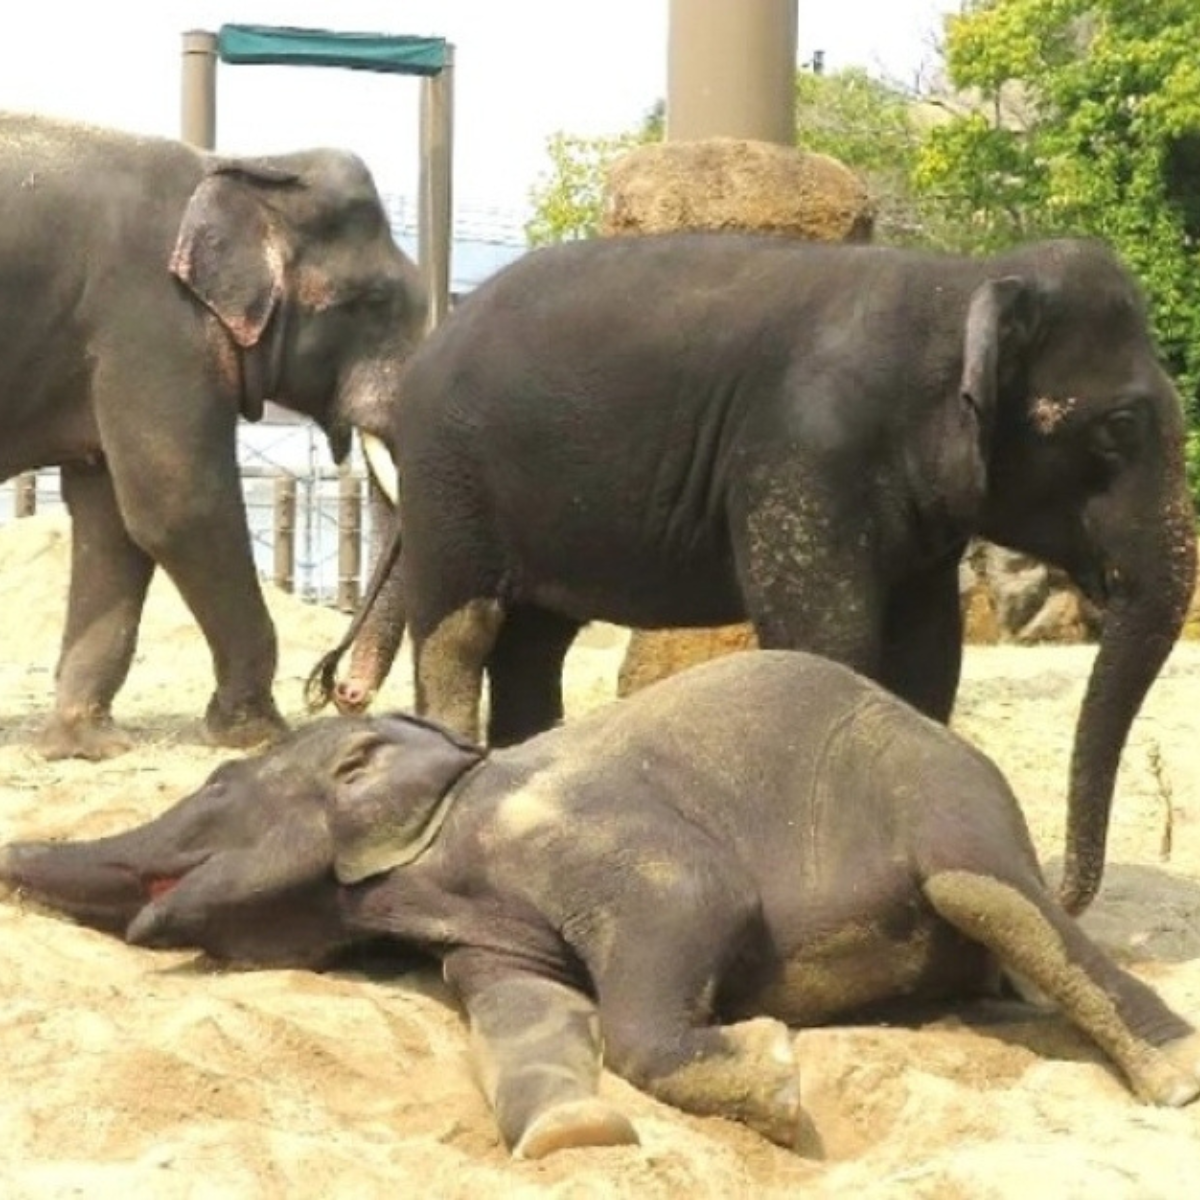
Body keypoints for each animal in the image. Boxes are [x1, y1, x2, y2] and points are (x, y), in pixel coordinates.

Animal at [0, 112, 423, 760]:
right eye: (375, 301)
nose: (343, 694)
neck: (248, 166)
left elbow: (112, 518)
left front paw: (86, 744)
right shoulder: (154, 318)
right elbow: (179, 504)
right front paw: (259, 733)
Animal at [5, 651, 1200, 1158]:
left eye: (213, 788)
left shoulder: (572, 825)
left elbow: (690, 898)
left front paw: (771, 1076)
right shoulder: (482, 932)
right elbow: (523, 1009)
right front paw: (571, 1137)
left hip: (943, 791)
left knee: (983, 889)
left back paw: (1175, 1078)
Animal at [308, 231, 1196, 915]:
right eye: (1119, 427)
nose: (1057, 886)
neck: (959, 281)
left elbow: (927, 658)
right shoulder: (804, 457)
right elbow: (828, 641)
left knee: (534, 642)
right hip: (449, 478)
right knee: (464, 629)